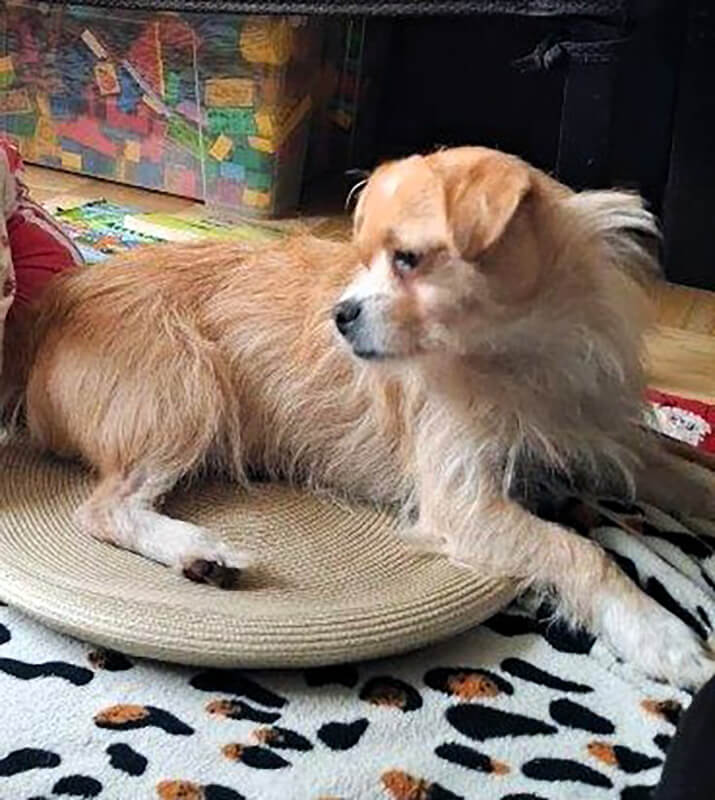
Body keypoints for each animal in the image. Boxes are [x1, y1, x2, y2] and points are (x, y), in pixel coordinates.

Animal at [7, 146, 715, 688]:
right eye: (365, 259)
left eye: (407, 260)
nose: (339, 315)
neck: (522, 354)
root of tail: (48, 308)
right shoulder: (463, 504)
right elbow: (578, 550)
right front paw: (661, 635)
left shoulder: (602, 433)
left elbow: (680, 470)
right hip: (185, 394)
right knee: (103, 509)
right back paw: (199, 551)